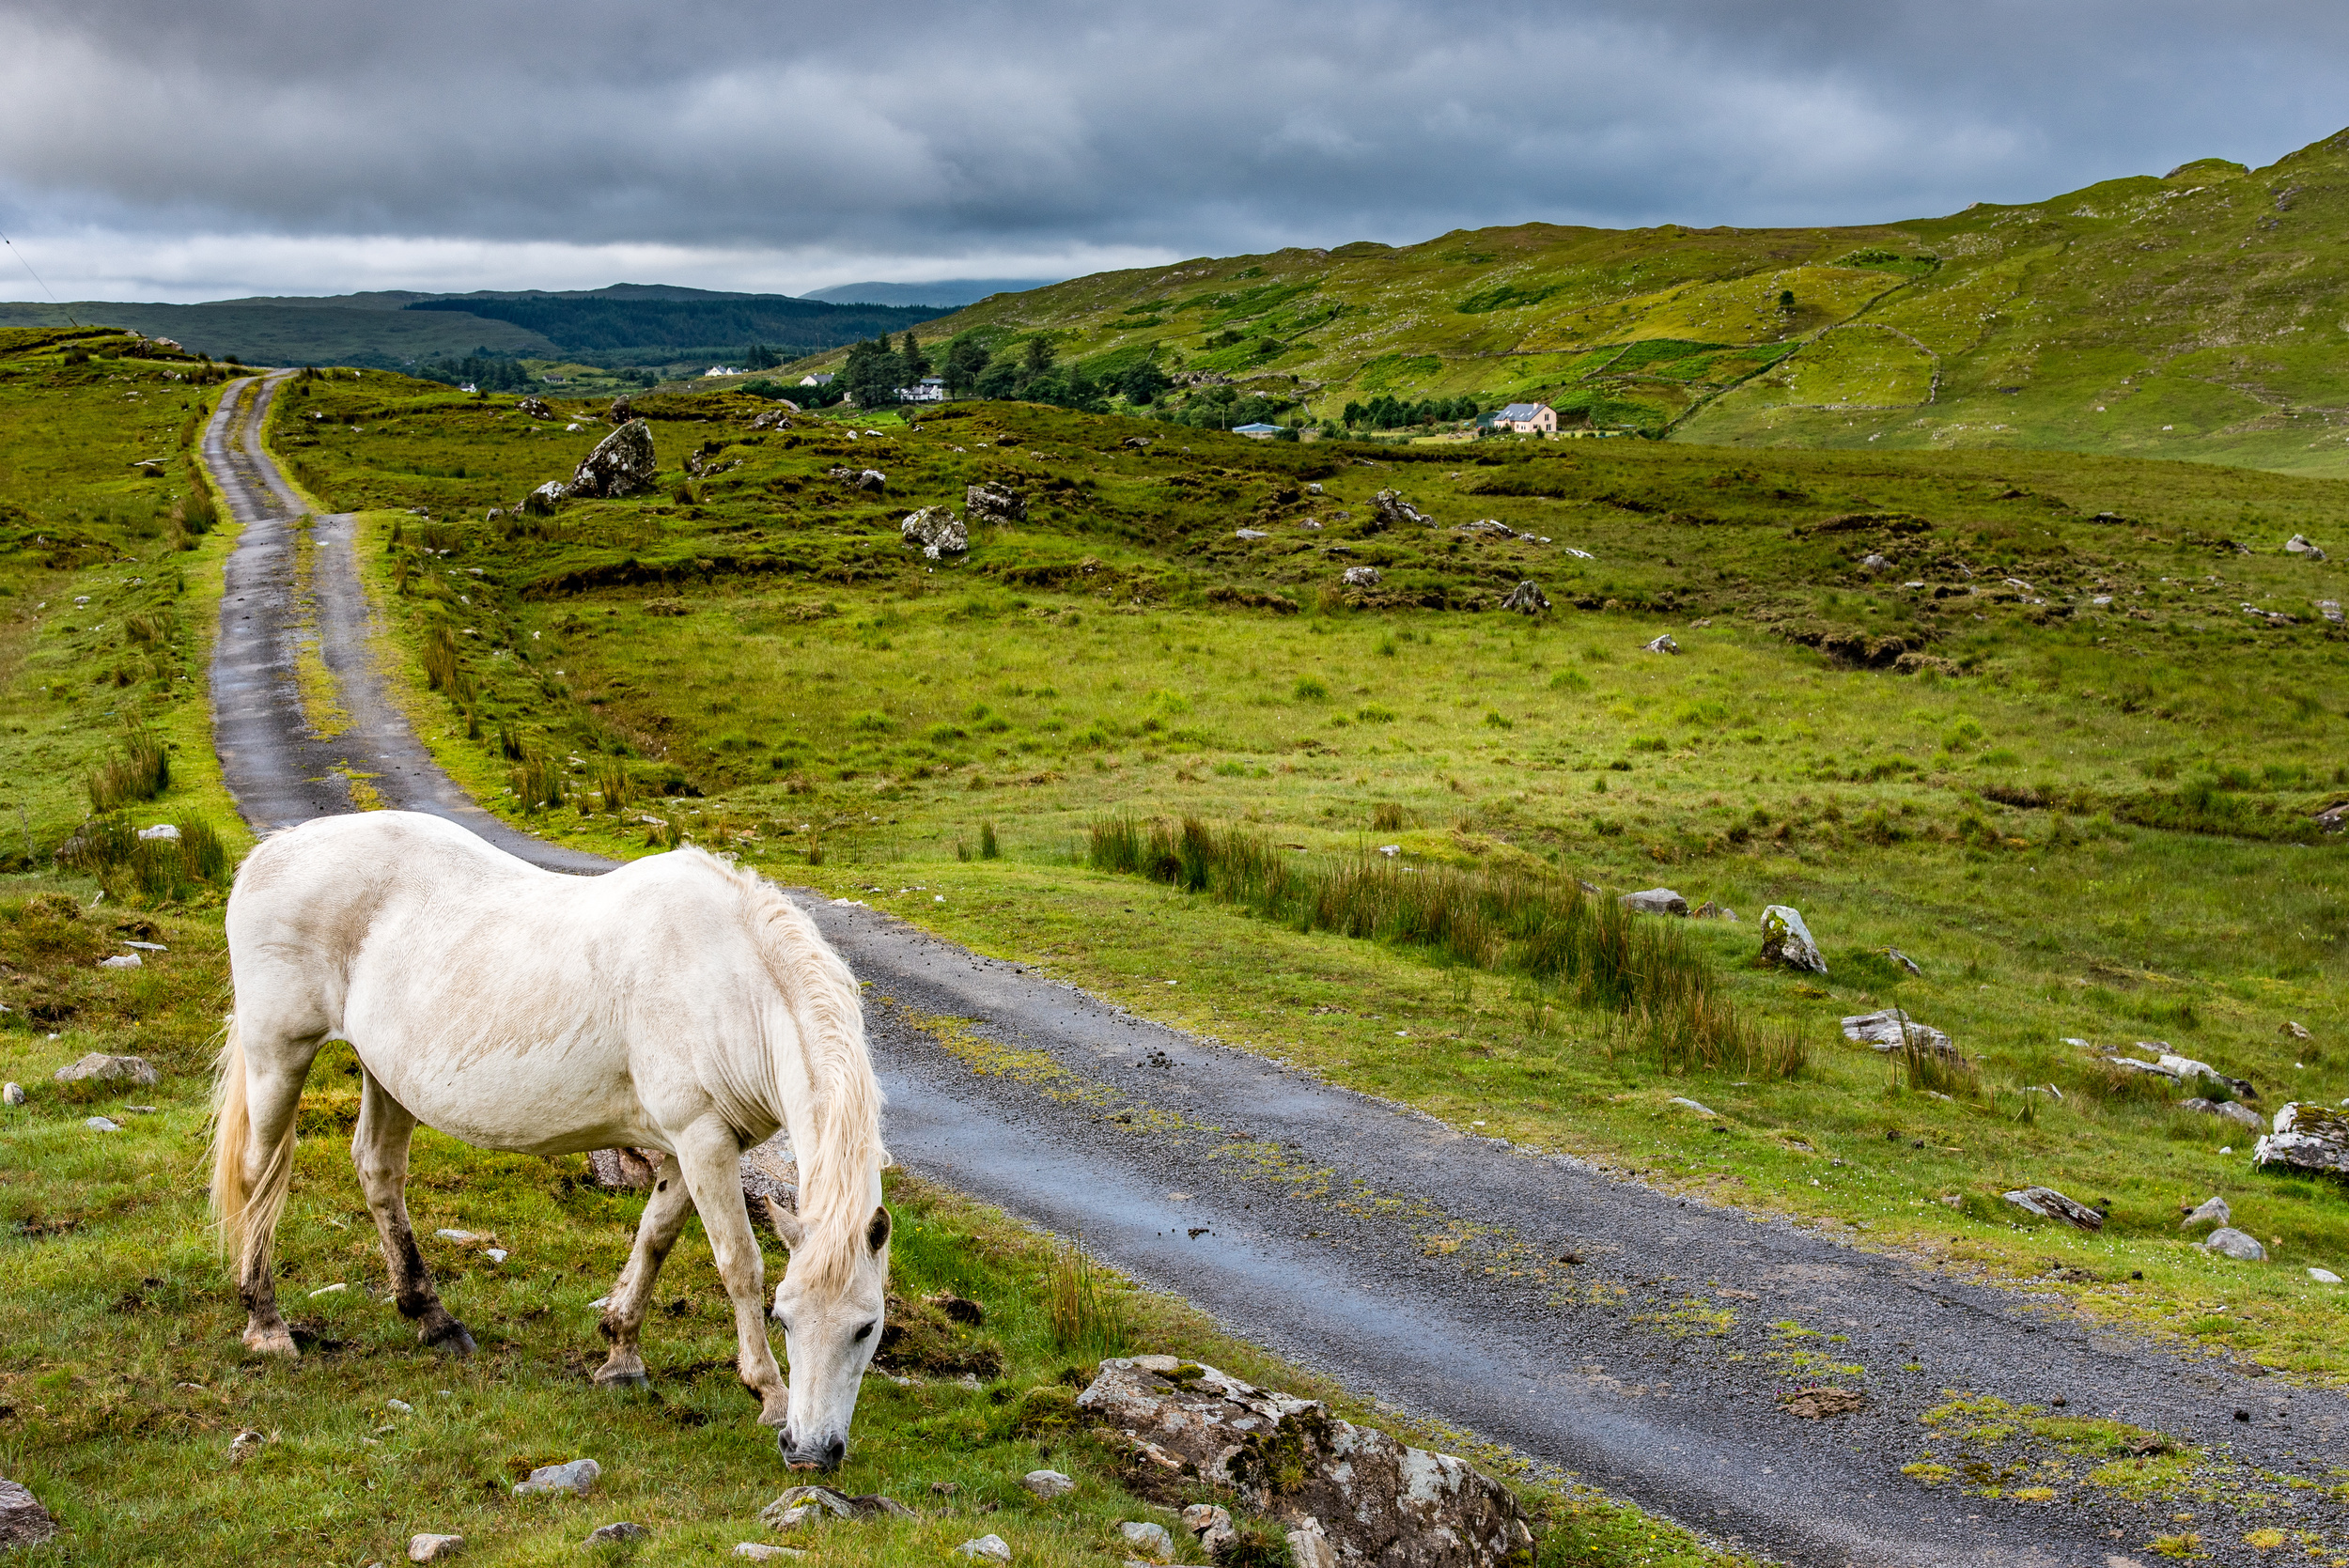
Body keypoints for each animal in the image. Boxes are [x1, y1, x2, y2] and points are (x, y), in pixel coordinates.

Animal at [211, 807, 893, 1474]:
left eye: (867, 1327)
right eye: (784, 1318)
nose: (811, 1453)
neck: (733, 985)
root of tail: (272, 852)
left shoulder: (690, 1146)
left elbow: (655, 1240)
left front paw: (621, 1354)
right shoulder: (701, 1139)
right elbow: (738, 1263)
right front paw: (768, 1392)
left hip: (387, 1077)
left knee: (378, 1172)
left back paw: (433, 1319)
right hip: (279, 1056)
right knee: (257, 1173)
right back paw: (267, 1323)